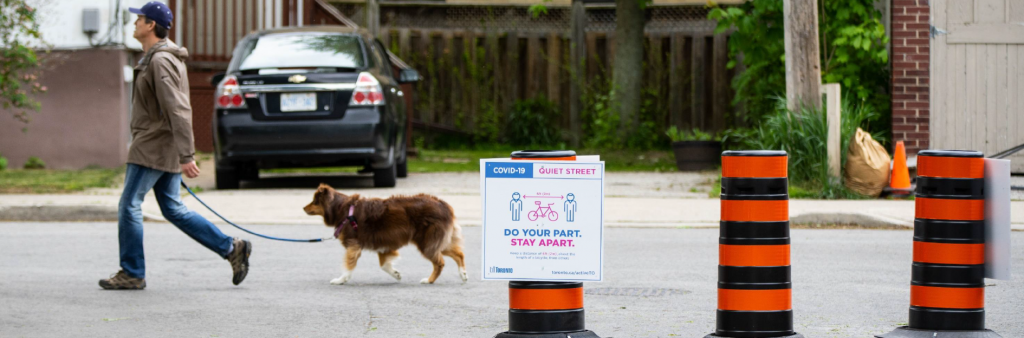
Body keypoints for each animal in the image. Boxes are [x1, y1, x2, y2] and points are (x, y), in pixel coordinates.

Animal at [301, 183, 466, 284]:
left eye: (314, 201)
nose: (303, 208)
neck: (344, 210)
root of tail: (444, 205)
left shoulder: (353, 245)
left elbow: (348, 265)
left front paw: (341, 280)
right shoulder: (383, 243)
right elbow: (384, 265)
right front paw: (396, 274)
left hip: (427, 242)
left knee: (440, 262)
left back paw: (429, 280)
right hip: (438, 241)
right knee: (459, 254)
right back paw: (463, 274)